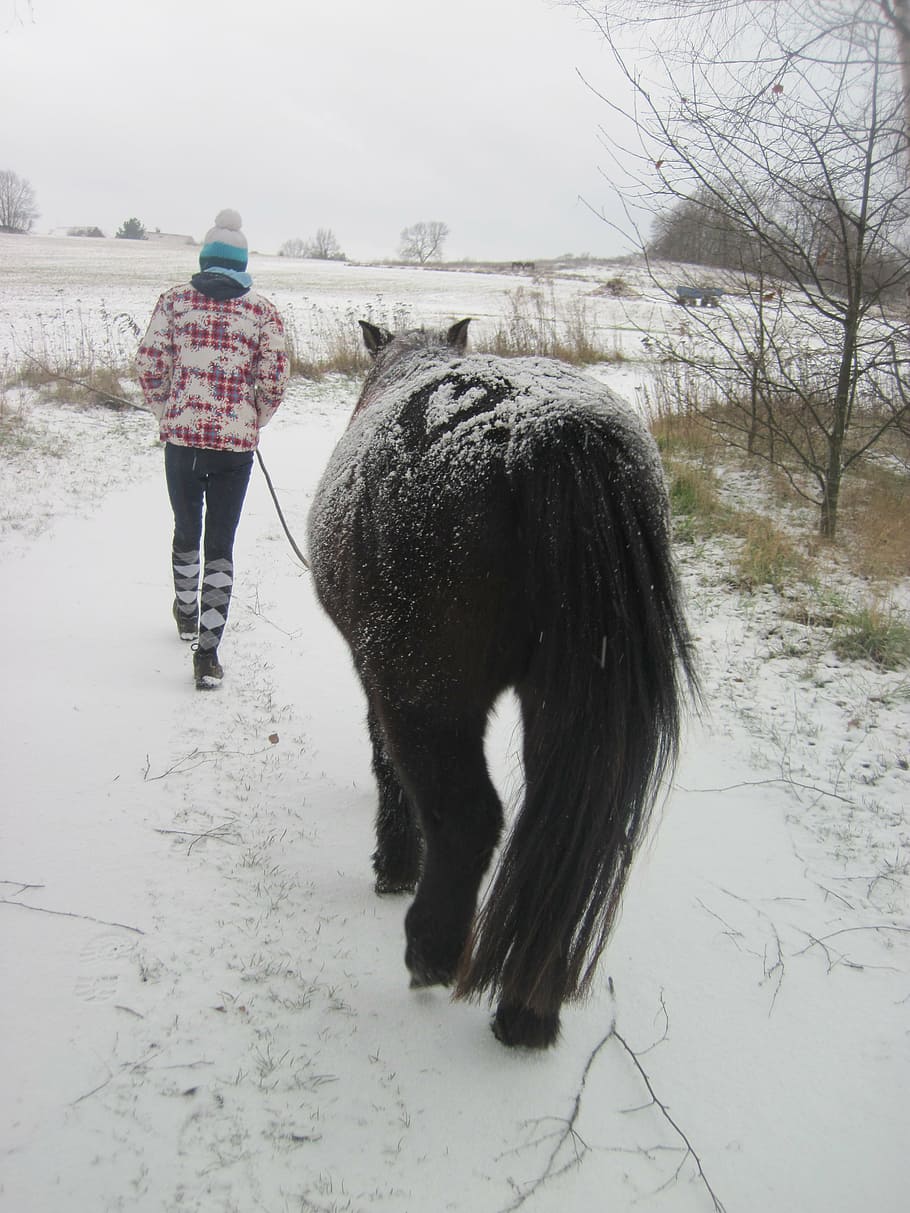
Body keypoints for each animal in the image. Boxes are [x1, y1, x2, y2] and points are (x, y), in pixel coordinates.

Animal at [307, 319, 698, 1048]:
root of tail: (547, 432)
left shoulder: (376, 679)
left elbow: (385, 764)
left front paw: (394, 863)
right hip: (567, 707)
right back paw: (526, 1013)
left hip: (425, 696)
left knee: (470, 818)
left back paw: (430, 950)